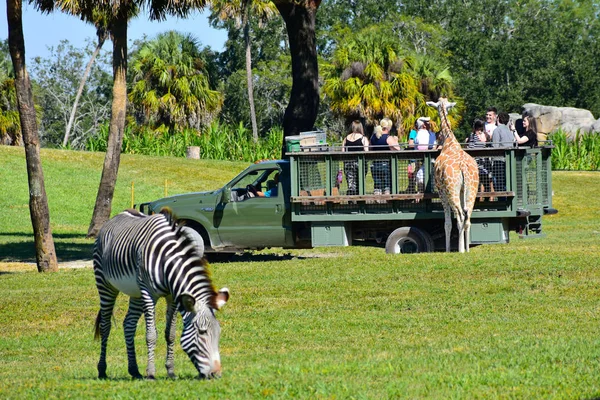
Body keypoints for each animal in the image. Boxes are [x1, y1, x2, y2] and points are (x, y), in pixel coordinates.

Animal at [93, 208, 230, 380]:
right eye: (202, 332)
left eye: (218, 333)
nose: (216, 374)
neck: (168, 262)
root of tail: (117, 216)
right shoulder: (148, 294)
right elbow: (151, 334)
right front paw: (151, 373)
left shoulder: (173, 297)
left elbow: (170, 334)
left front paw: (170, 371)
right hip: (105, 284)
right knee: (105, 325)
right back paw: (102, 370)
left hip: (135, 292)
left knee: (129, 324)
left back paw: (134, 370)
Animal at [426, 98, 478, 252]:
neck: (449, 141)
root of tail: (463, 168)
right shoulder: (461, 190)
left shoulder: (441, 190)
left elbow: (447, 223)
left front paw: (448, 249)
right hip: (471, 190)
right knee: (468, 217)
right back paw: (466, 249)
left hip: (451, 190)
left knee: (460, 217)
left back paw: (460, 250)